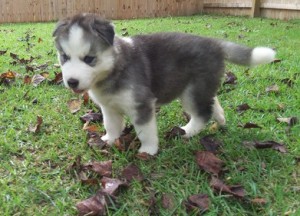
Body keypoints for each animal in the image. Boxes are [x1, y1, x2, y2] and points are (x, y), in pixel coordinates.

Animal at [52, 13, 276, 155]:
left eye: (89, 58)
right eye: (64, 57)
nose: (71, 82)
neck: (113, 69)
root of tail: (215, 43)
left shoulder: (142, 104)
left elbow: (145, 131)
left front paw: (148, 150)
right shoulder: (109, 107)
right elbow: (112, 125)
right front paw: (109, 140)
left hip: (192, 91)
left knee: (202, 113)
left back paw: (188, 131)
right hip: (203, 86)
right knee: (213, 102)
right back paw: (220, 118)